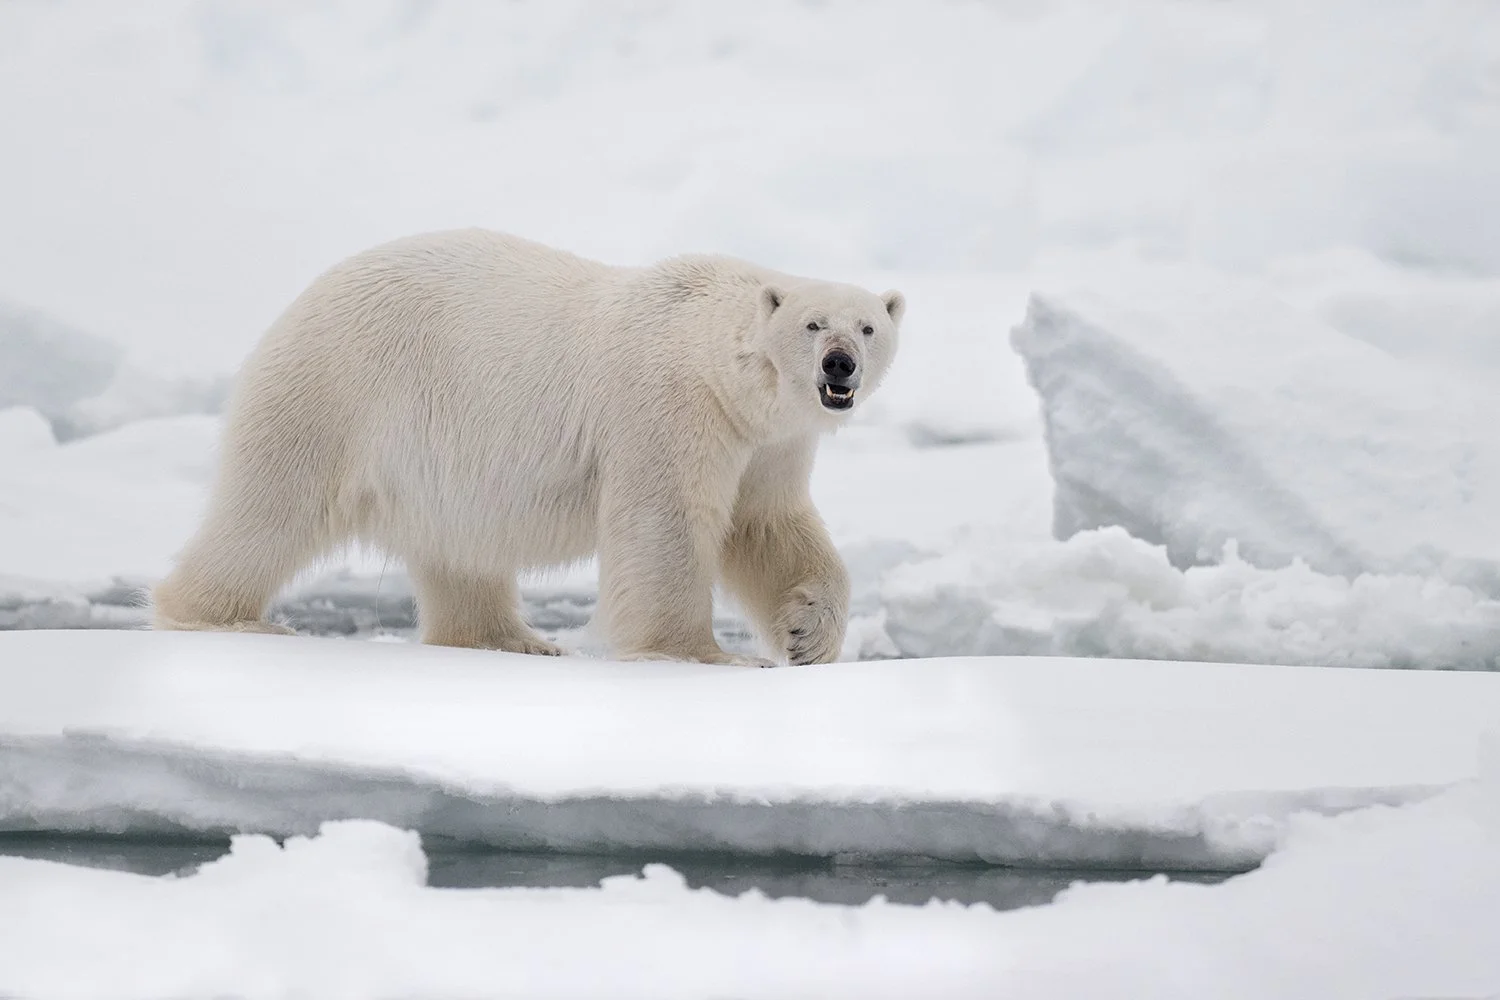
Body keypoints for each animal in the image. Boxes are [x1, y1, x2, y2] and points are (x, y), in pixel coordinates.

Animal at [151, 228, 904, 666]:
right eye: (813, 324)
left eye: (868, 326)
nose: (840, 365)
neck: (714, 359)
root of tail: (300, 303)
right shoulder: (668, 406)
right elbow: (665, 524)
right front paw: (704, 654)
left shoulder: (769, 440)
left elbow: (766, 523)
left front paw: (807, 634)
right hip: (335, 392)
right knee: (270, 510)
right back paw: (226, 619)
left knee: (459, 551)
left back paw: (512, 639)